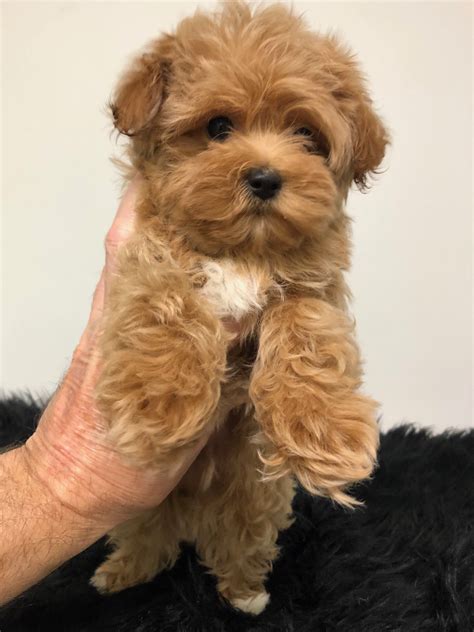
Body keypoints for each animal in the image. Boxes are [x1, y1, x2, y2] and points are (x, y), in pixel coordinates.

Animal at [90, 0, 386, 612]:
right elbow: (165, 299)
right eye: (218, 128)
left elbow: (306, 328)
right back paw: (122, 572)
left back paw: (245, 592)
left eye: (306, 134)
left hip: (255, 498)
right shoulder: (146, 254)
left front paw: (323, 430)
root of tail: (191, 515)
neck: (244, 251)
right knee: (146, 536)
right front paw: (160, 399)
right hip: (143, 505)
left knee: (240, 539)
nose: (265, 177)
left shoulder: (315, 285)